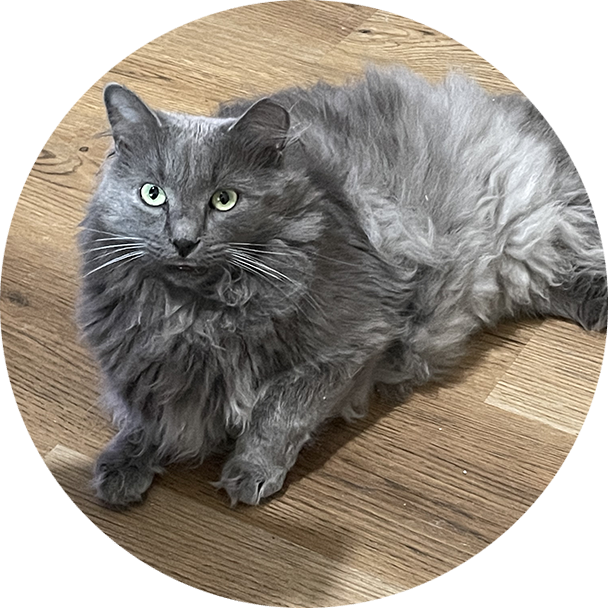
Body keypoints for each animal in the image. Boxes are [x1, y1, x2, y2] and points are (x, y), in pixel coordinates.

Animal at [78, 66, 604, 508]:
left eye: (224, 200)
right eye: (152, 195)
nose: (184, 241)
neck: (196, 315)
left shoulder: (354, 341)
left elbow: (280, 411)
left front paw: (251, 471)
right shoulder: (140, 361)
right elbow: (144, 416)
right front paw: (123, 464)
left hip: (523, 239)